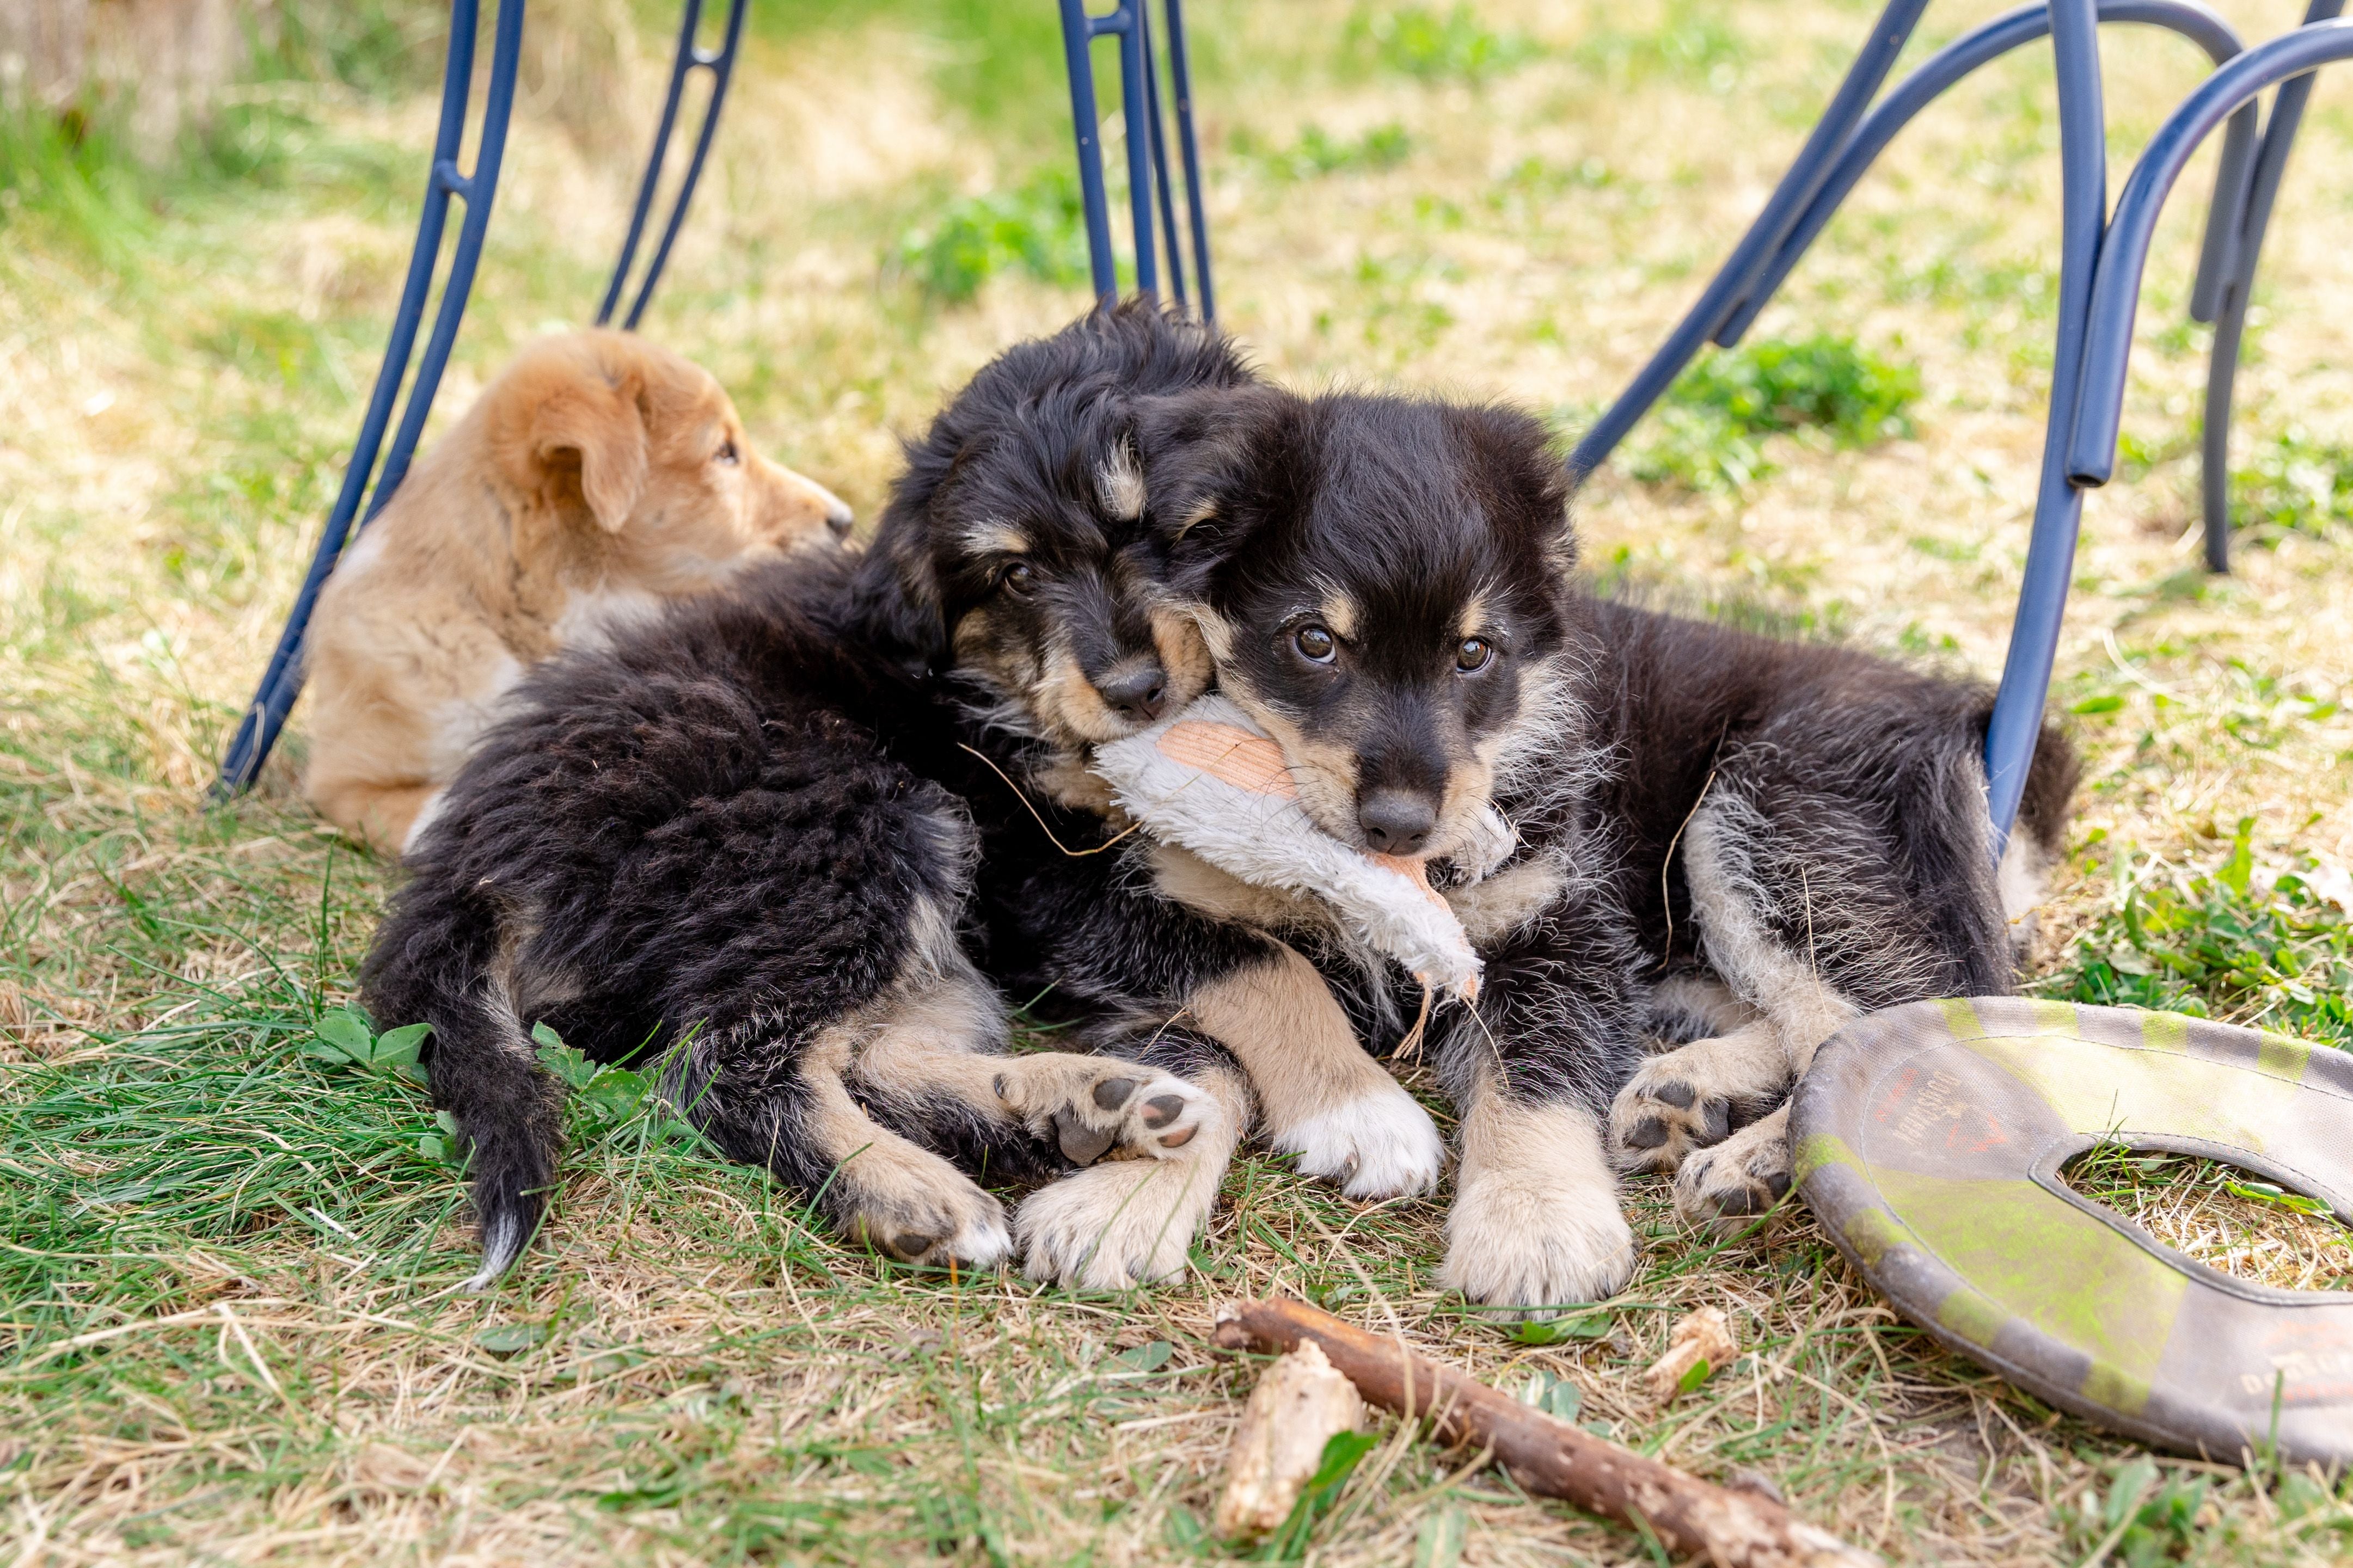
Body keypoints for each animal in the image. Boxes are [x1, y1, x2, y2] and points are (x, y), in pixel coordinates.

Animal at [360, 303, 1252, 1288]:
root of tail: (471, 863)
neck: (987, 678)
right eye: (1017, 576)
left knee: (875, 1057)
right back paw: (915, 1195)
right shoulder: (1038, 858)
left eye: (1160, 531)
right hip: (857, 833)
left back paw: (1083, 1101)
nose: (1135, 691)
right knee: (727, 1066)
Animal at [1101, 383, 2080, 1316]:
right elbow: (1230, 1018)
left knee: (1895, 1018)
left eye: (1474, 653)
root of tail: (1962, 711)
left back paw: (1758, 1159)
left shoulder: (1556, 927)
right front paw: (1119, 1204)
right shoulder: (1153, 916)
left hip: (1769, 825)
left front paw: (1536, 1226)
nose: (1399, 827)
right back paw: (1689, 1095)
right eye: (1313, 641)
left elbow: (1533, 1080)